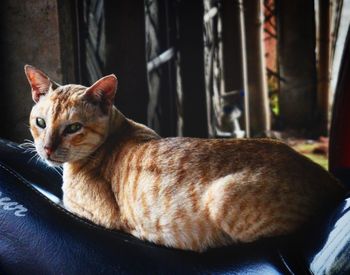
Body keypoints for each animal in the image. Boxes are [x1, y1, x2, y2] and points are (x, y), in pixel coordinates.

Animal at [24, 66, 344, 253]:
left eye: (73, 128)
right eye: (40, 123)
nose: (47, 150)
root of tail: (327, 178)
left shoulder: (92, 212)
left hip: (222, 197)